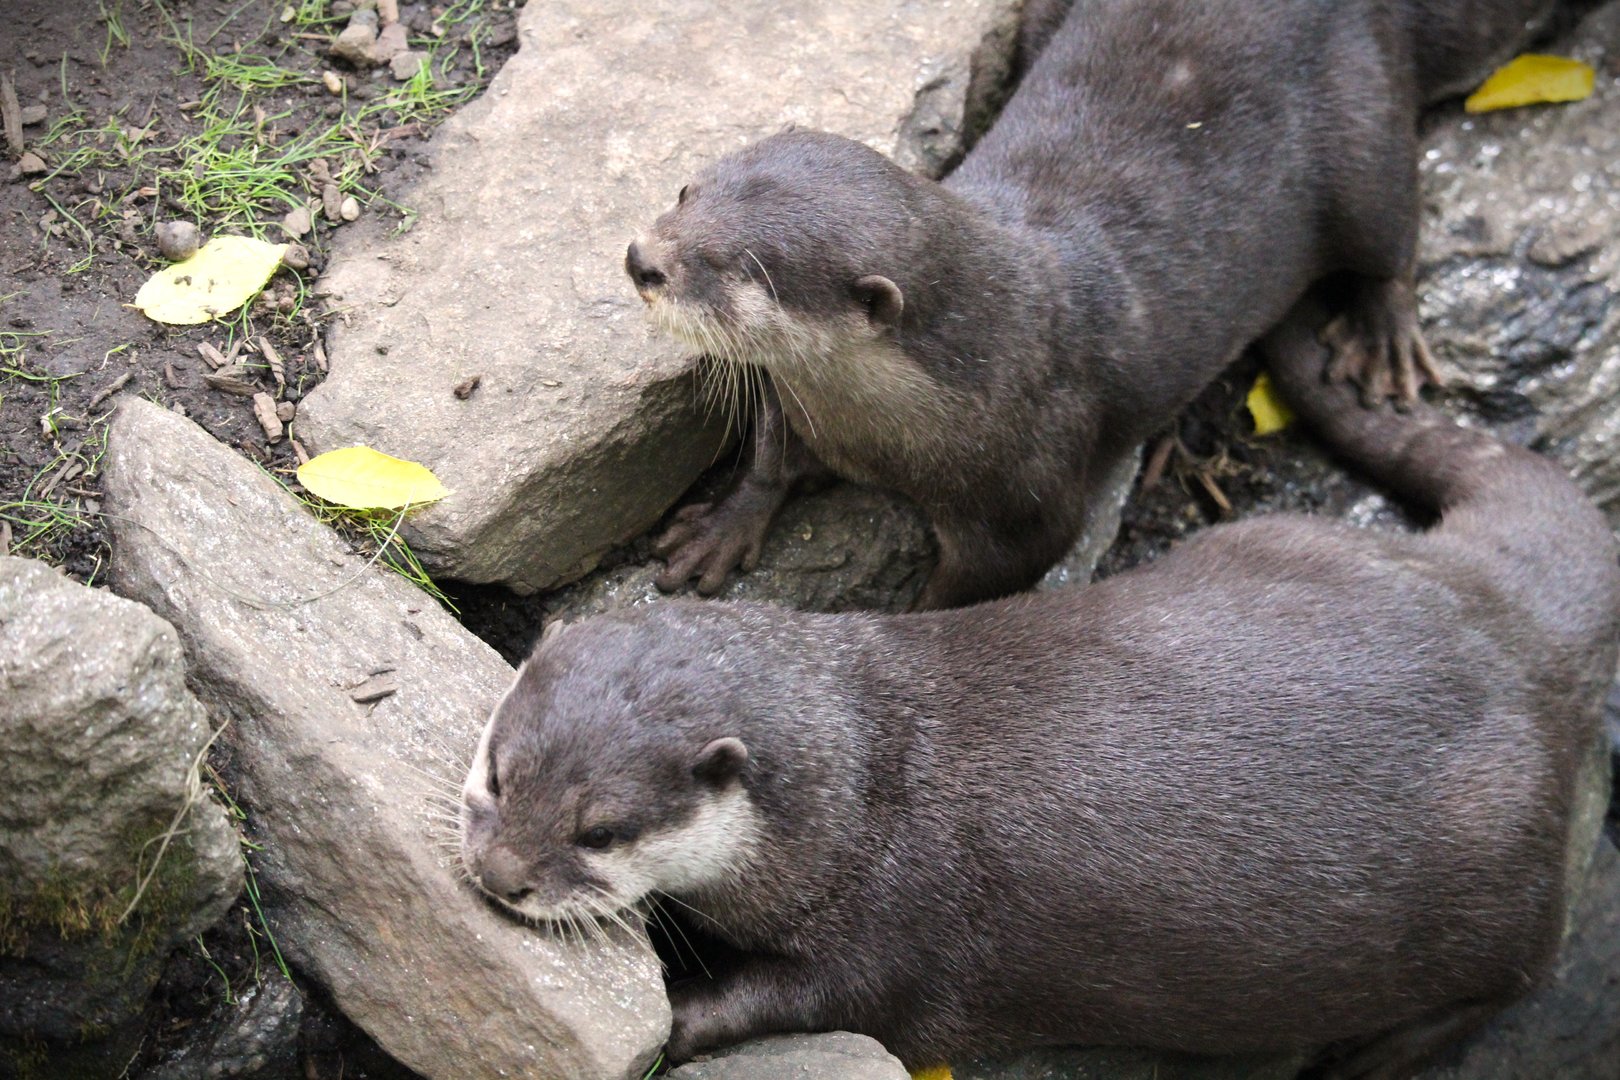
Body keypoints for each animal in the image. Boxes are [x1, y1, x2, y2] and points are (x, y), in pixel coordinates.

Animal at [459, 289, 1620, 1074]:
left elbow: (814, 1002)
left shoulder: (896, 933)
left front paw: (684, 1020)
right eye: (502, 773)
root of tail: (1509, 615)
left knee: (1511, 974)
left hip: (1493, 878)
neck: (861, 795)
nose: (501, 877)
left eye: (603, 829)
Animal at [627, 0, 1556, 609]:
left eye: (738, 266)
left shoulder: (1031, 498)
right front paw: (723, 527)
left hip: (1360, 132)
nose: (642, 259)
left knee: (1391, 225)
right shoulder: (801, 397)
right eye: (685, 191)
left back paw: (1384, 334)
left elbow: (986, 582)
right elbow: (770, 450)